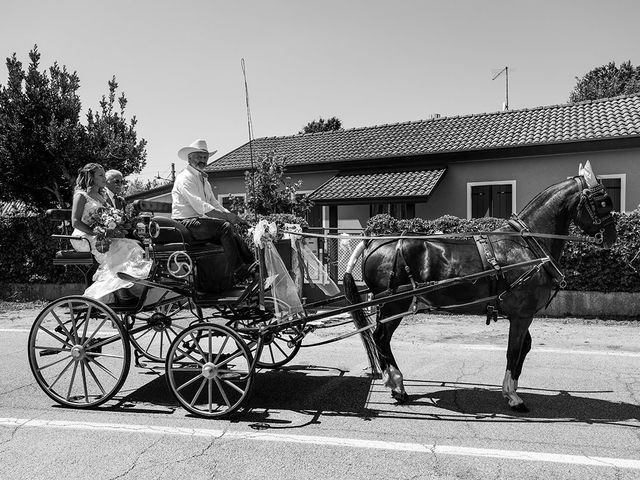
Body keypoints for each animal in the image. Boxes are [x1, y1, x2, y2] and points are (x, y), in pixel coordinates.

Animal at [342, 162, 616, 412]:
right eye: (603, 201)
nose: (613, 237)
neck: (527, 246)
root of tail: (374, 242)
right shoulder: (521, 315)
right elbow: (513, 351)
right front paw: (513, 397)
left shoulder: (522, 314)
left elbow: (524, 348)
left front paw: (511, 390)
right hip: (394, 303)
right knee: (381, 338)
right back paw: (398, 385)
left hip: (388, 305)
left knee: (380, 339)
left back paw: (393, 383)